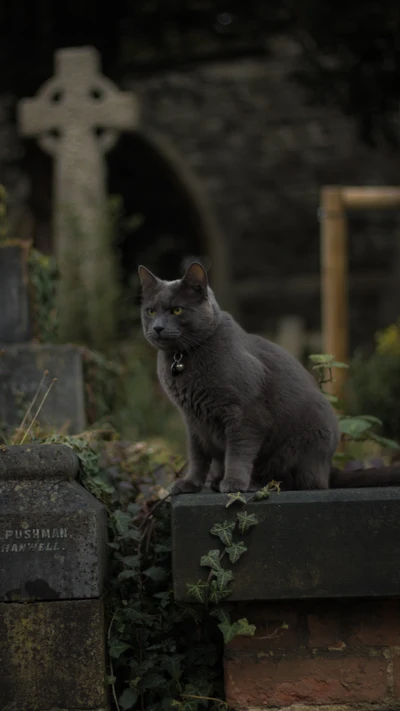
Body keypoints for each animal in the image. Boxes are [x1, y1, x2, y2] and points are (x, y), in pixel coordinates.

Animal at [138, 262, 400, 496]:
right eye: (151, 311)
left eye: (177, 310)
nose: (158, 327)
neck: (182, 358)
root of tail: (329, 468)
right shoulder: (193, 421)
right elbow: (197, 456)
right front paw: (189, 484)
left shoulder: (244, 415)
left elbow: (237, 452)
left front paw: (233, 483)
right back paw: (215, 481)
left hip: (305, 443)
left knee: (303, 482)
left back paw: (254, 483)